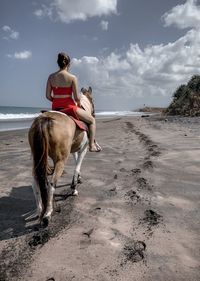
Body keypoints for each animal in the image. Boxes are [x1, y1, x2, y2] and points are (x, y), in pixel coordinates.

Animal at [28, 86, 94, 224]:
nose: (94, 113)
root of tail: (45, 119)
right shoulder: (83, 150)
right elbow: (77, 167)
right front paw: (74, 188)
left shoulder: (75, 150)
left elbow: (76, 165)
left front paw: (78, 180)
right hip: (60, 161)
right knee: (51, 185)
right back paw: (47, 214)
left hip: (37, 159)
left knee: (35, 183)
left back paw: (39, 210)